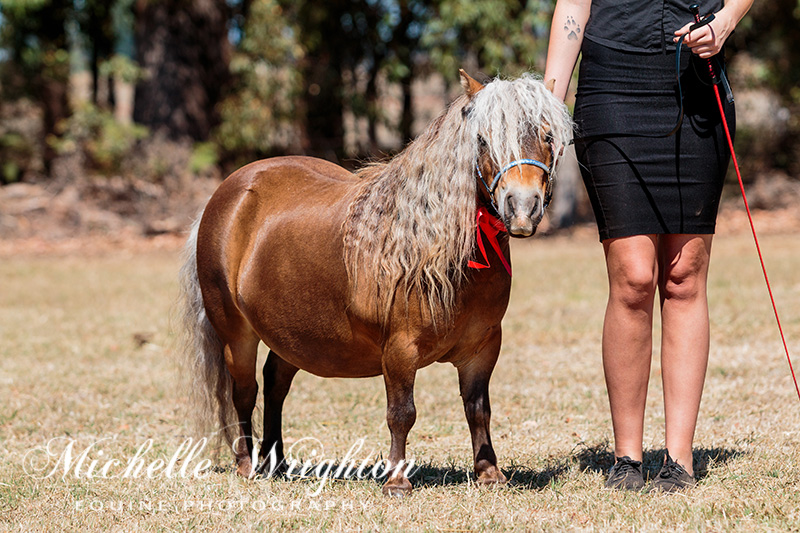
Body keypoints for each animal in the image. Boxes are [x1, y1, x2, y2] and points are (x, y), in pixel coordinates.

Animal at [179, 70, 572, 494]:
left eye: (548, 136)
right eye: (483, 139)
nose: (523, 208)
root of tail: (228, 191)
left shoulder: (483, 348)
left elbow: (478, 410)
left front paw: (489, 473)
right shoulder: (399, 349)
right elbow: (402, 413)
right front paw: (397, 480)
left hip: (291, 332)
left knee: (275, 383)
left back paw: (277, 462)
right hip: (237, 333)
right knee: (244, 391)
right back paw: (247, 465)